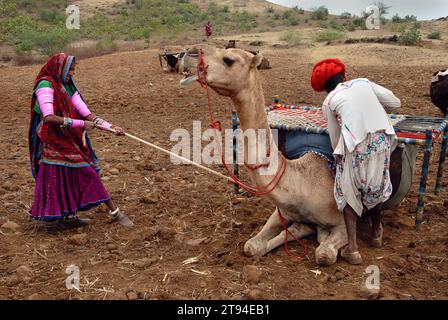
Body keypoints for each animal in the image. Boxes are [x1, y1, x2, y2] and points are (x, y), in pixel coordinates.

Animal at [179, 45, 416, 264]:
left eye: (229, 59)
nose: (188, 54)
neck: (300, 185)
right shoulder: (281, 213)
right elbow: (252, 246)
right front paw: (298, 230)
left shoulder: (339, 221)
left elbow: (324, 254)